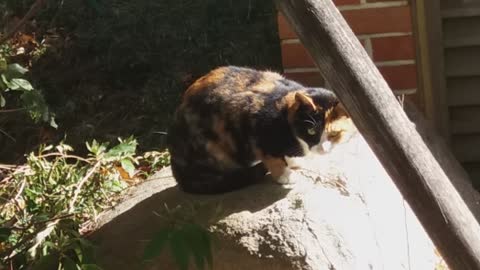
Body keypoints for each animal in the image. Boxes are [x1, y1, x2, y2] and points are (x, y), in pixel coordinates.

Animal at [168, 66, 348, 194]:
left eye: (334, 134)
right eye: (311, 131)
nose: (322, 149)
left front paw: (293, 162)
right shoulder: (249, 118)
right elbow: (272, 157)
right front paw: (285, 175)